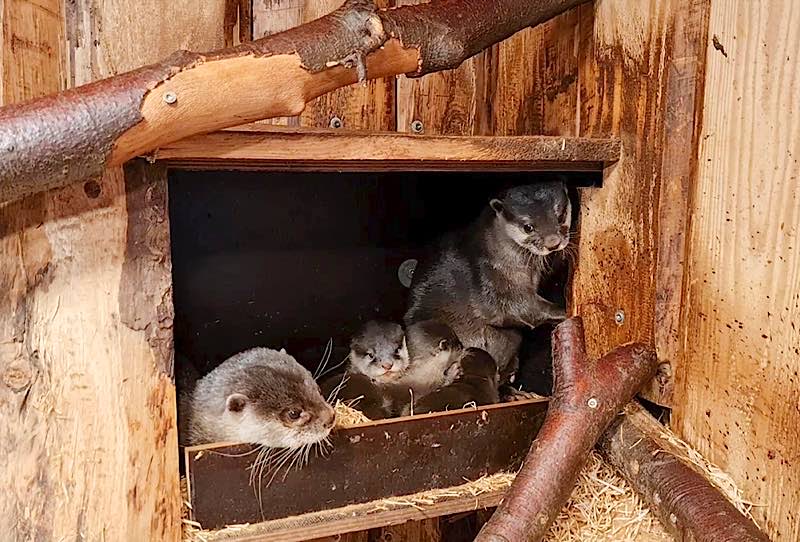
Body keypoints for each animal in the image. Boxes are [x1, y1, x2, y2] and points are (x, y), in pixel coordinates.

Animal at [406, 181, 568, 380]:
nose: (553, 243)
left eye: (560, 216)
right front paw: (565, 311)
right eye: (528, 227)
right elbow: (522, 308)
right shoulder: (489, 278)